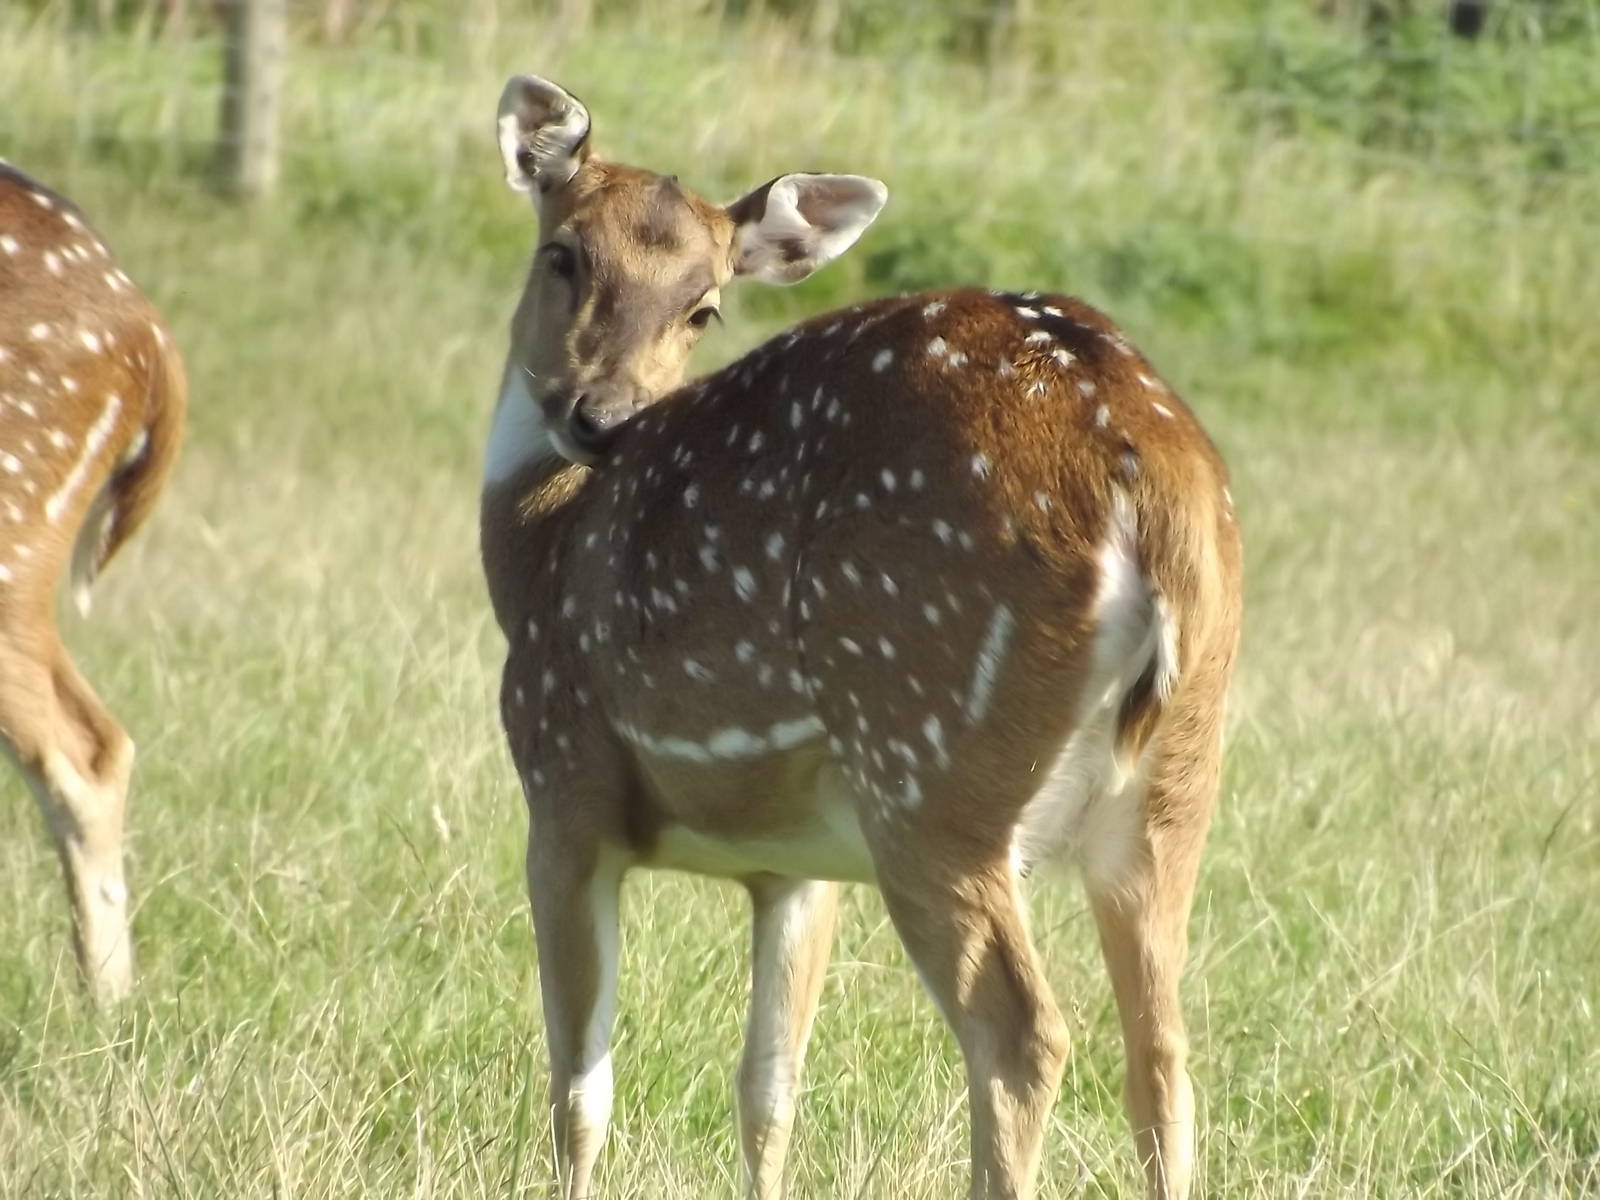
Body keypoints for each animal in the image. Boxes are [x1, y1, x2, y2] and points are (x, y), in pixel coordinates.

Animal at [481, 75, 1242, 1200]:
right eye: (564, 254)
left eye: (706, 303)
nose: (601, 416)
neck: (536, 545)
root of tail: (1150, 481)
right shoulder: (799, 863)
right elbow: (767, 1093)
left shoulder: (562, 782)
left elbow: (581, 1093)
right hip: (1174, 783)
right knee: (1165, 1058)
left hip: (927, 761)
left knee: (1024, 1036)